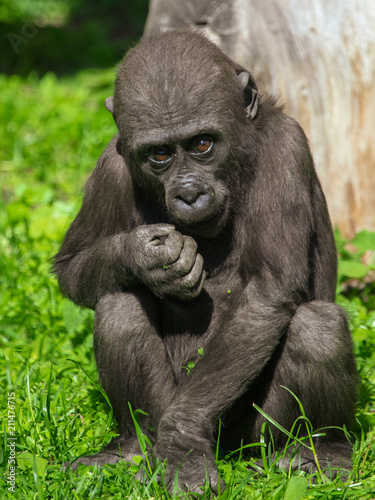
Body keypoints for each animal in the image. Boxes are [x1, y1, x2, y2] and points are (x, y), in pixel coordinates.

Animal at [56, 30, 358, 492]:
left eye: (202, 144)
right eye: (160, 154)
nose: (189, 193)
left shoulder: (286, 148)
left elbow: (268, 293)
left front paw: (182, 440)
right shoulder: (112, 166)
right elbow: (72, 266)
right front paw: (145, 257)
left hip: (258, 438)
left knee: (318, 328)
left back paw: (324, 451)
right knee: (119, 305)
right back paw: (131, 445)